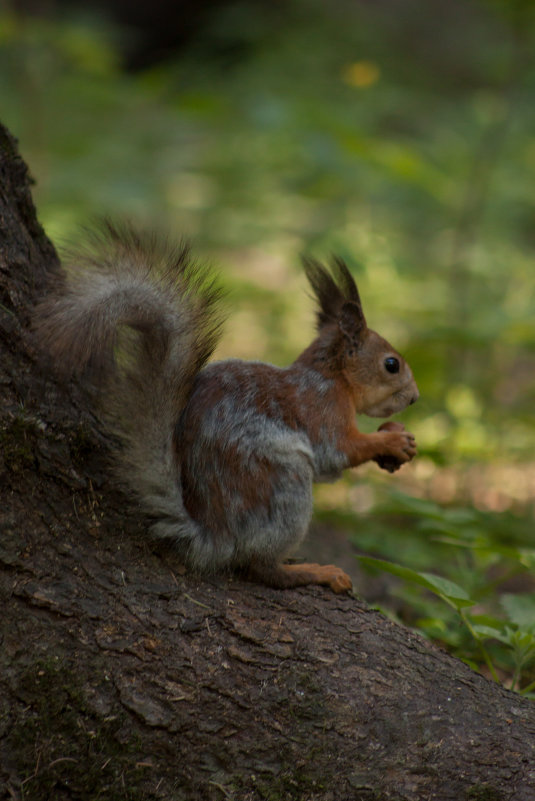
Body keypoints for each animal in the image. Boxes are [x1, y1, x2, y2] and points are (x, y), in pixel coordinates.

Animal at [35, 222, 420, 592]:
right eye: (391, 364)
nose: (414, 397)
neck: (332, 377)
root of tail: (215, 535)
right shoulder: (322, 410)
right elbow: (339, 451)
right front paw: (391, 441)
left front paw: (395, 434)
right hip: (284, 481)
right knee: (261, 567)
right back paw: (314, 572)